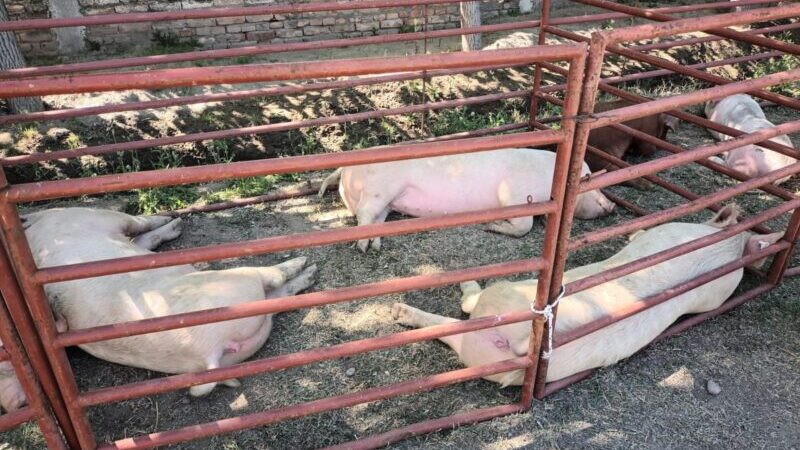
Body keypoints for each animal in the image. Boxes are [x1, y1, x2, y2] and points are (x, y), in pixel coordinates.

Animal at [22, 208, 317, 396]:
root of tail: (210, 351)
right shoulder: (97, 217)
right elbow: (140, 224)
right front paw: (172, 220)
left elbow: (143, 237)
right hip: (238, 280)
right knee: (273, 277)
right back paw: (304, 263)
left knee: (279, 296)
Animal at [317, 148, 615, 252]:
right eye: (590, 178)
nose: (611, 205)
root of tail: (345, 168)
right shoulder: (514, 193)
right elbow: (524, 225)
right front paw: (490, 226)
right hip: (379, 189)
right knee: (364, 214)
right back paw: (362, 248)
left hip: (387, 202)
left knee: (374, 220)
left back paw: (376, 246)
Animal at [391, 205, 783, 387]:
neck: (725, 246)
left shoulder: (665, 230)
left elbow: (644, 233)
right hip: (484, 356)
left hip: (501, 302)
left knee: (466, 308)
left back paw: (413, 303)